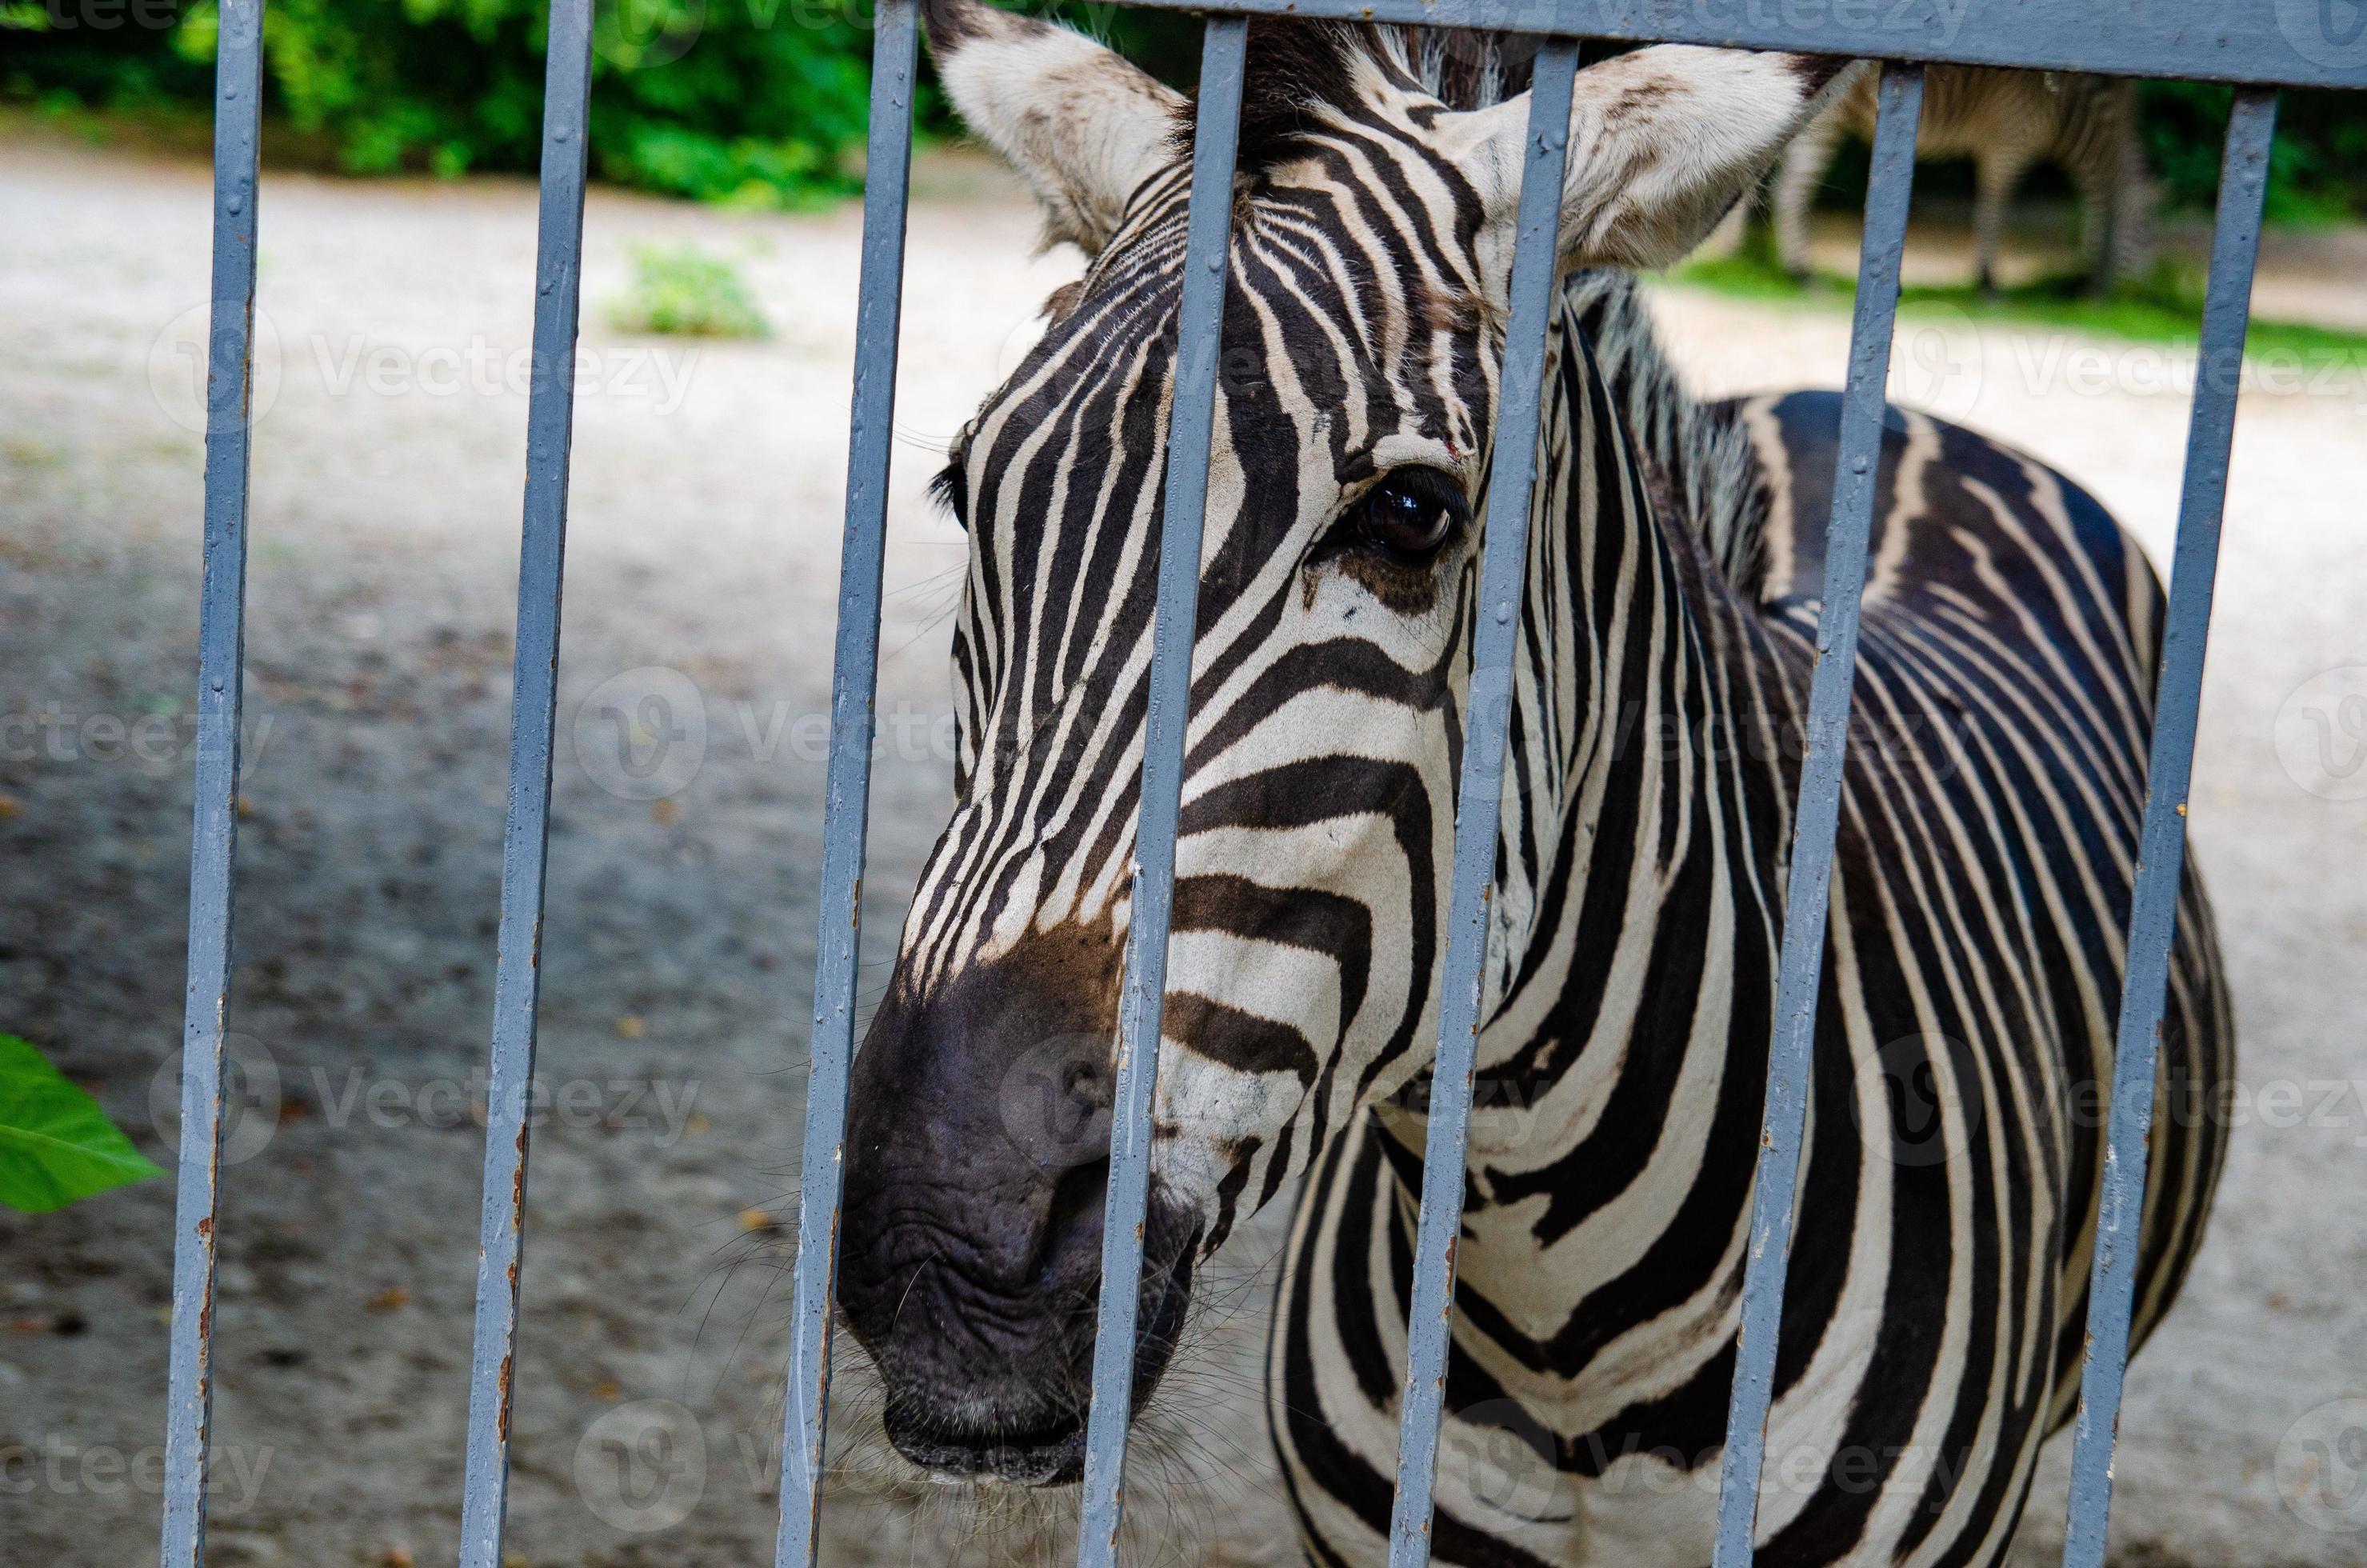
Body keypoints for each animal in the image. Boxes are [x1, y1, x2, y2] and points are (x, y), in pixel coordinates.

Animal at [1769, 66, 2154, 296]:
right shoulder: (2011, 139)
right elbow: (1994, 207)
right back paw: (1802, 274)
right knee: (1791, 192)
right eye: (2142, 232)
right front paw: (1988, 282)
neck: (2066, 114)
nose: (2134, 296)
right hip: (1828, 123)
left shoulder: (2002, 144)